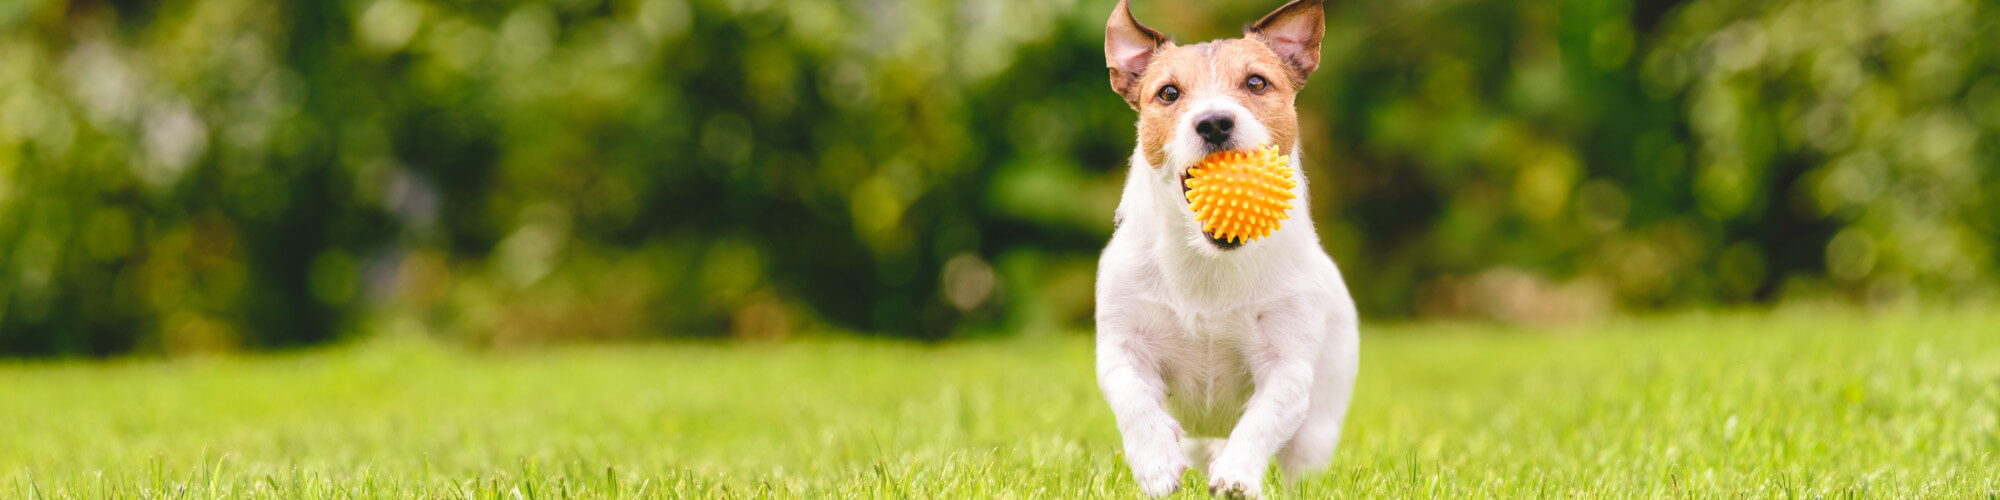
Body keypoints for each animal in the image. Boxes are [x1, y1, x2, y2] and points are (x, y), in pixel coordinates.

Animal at [1096, 0, 1360, 496]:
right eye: (1168, 93)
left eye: (1256, 82)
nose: (1215, 122)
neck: (1209, 263)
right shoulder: (1122, 347)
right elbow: (1134, 400)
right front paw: (1157, 464)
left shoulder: (1287, 366)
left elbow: (1263, 419)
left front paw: (1237, 474)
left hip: (1318, 427)